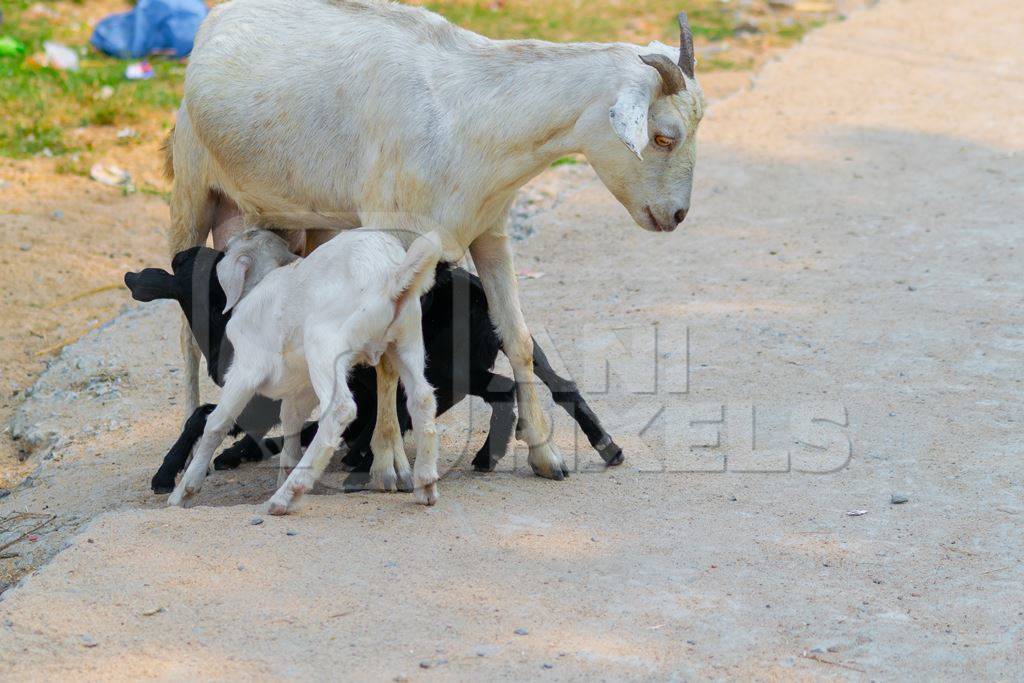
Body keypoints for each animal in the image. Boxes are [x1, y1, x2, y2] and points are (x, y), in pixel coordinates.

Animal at [165, 229, 442, 511]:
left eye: (227, 249)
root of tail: (392, 275)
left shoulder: (246, 369)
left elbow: (216, 424)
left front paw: (184, 491)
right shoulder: (301, 386)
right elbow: (290, 421)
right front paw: (285, 470)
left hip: (323, 346)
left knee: (340, 409)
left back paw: (287, 495)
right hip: (406, 340)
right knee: (422, 398)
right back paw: (426, 485)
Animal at [167, 0, 704, 483]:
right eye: (663, 136)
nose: (677, 215)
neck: (470, 114)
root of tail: (218, 17)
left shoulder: (489, 231)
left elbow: (518, 338)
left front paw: (544, 455)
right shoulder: (395, 236)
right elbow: (387, 354)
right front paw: (388, 467)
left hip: (302, 220)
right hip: (192, 190)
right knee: (184, 330)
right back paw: (192, 445)